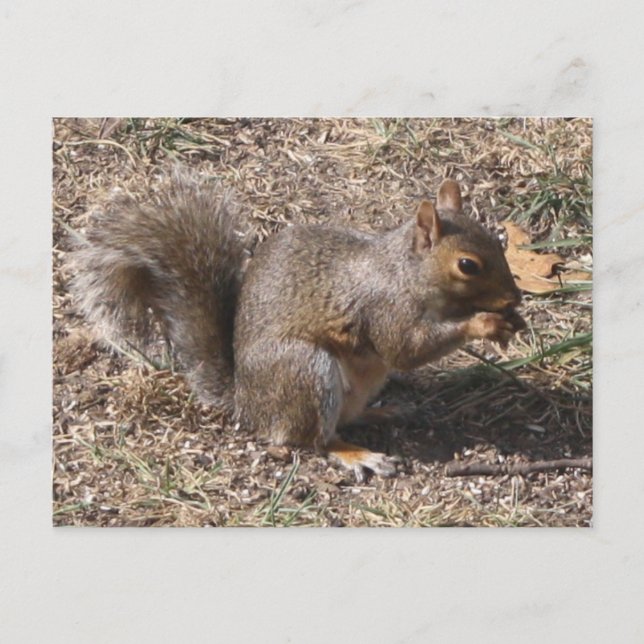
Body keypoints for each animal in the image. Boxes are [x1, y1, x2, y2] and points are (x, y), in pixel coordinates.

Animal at [72, 170, 524, 481]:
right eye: (468, 265)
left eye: (497, 242)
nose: (515, 298)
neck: (404, 271)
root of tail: (247, 404)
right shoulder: (384, 308)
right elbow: (405, 350)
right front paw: (485, 323)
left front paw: (509, 320)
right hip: (305, 370)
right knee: (312, 439)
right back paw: (358, 454)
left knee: (346, 417)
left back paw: (385, 412)